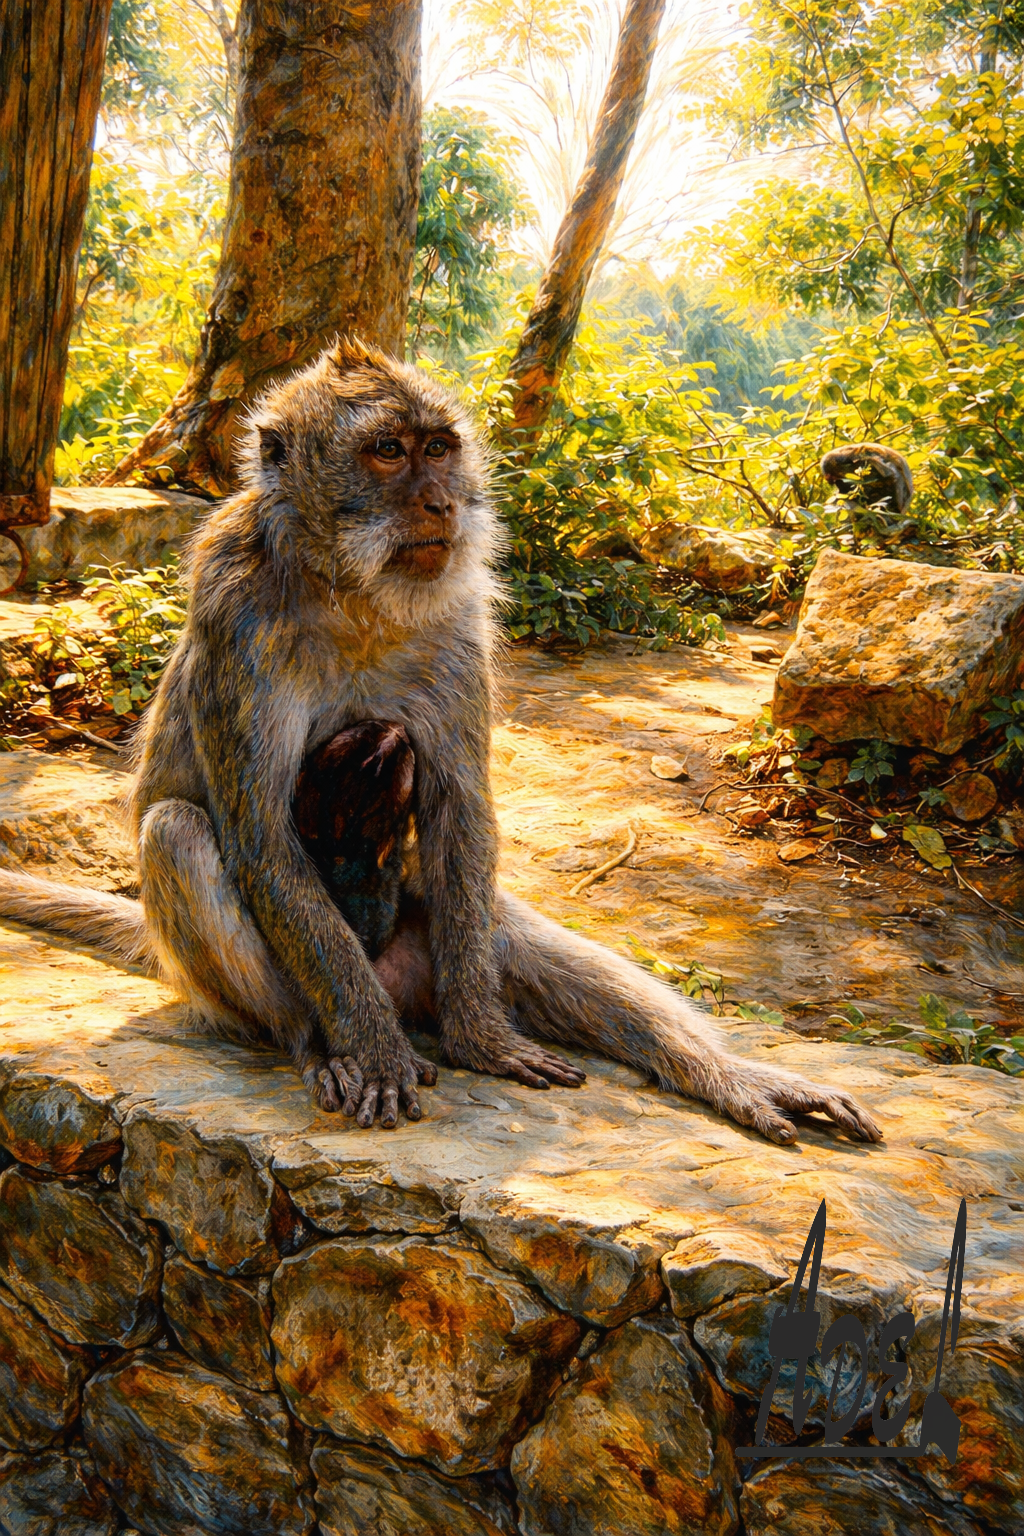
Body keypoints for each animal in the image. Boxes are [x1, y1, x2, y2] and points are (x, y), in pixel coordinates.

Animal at [0, 339, 881, 1147]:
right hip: (238, 993)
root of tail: (401, 990)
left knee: (501, 925)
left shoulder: (460, 621)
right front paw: (374, 1053)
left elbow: (462, 812)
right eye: (388, 451)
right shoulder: (233, 609)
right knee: (178, 833)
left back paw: (717, 1072)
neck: (352, 590)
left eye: (439, 449)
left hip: (446, 946)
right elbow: (261, 840)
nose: (440, 505)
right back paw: (322, 1042)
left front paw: (482, 1040)